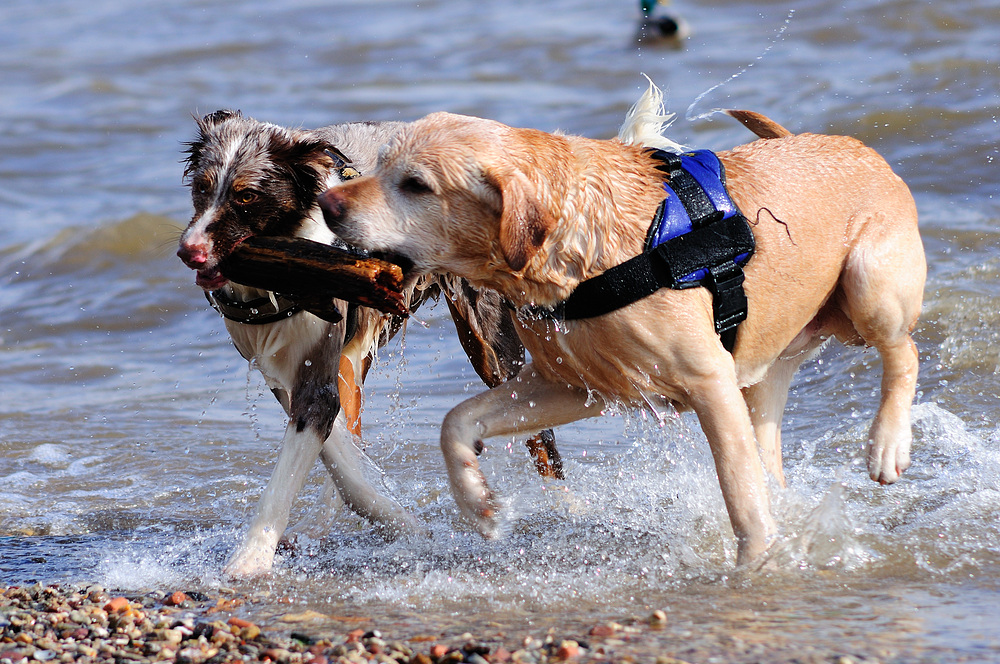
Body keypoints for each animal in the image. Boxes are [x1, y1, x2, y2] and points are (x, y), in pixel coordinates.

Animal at [180, 111, 564, 580]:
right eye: (202, 187)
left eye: (246, 196)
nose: (189, 252)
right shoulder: (287, 375)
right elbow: (341, 458)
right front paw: (394, 518)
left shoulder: (317, 378)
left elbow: (295, 473)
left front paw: (249, 559)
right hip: (356, 356)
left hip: (489, 348)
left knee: (543, 444)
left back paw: (569, 509)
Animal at [316, 85, 924, 564]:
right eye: (379, 166)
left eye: (415, 184)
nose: (327, 204)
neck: (577, 254)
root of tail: (854, 145)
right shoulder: (571, 384)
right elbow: (456, 422)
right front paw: (479, 504)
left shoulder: (709, 383)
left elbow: (741, 498)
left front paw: (754, 567)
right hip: (765, 375)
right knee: (770, 446)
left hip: (869, 286)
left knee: (904, 351)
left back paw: (887, 446)